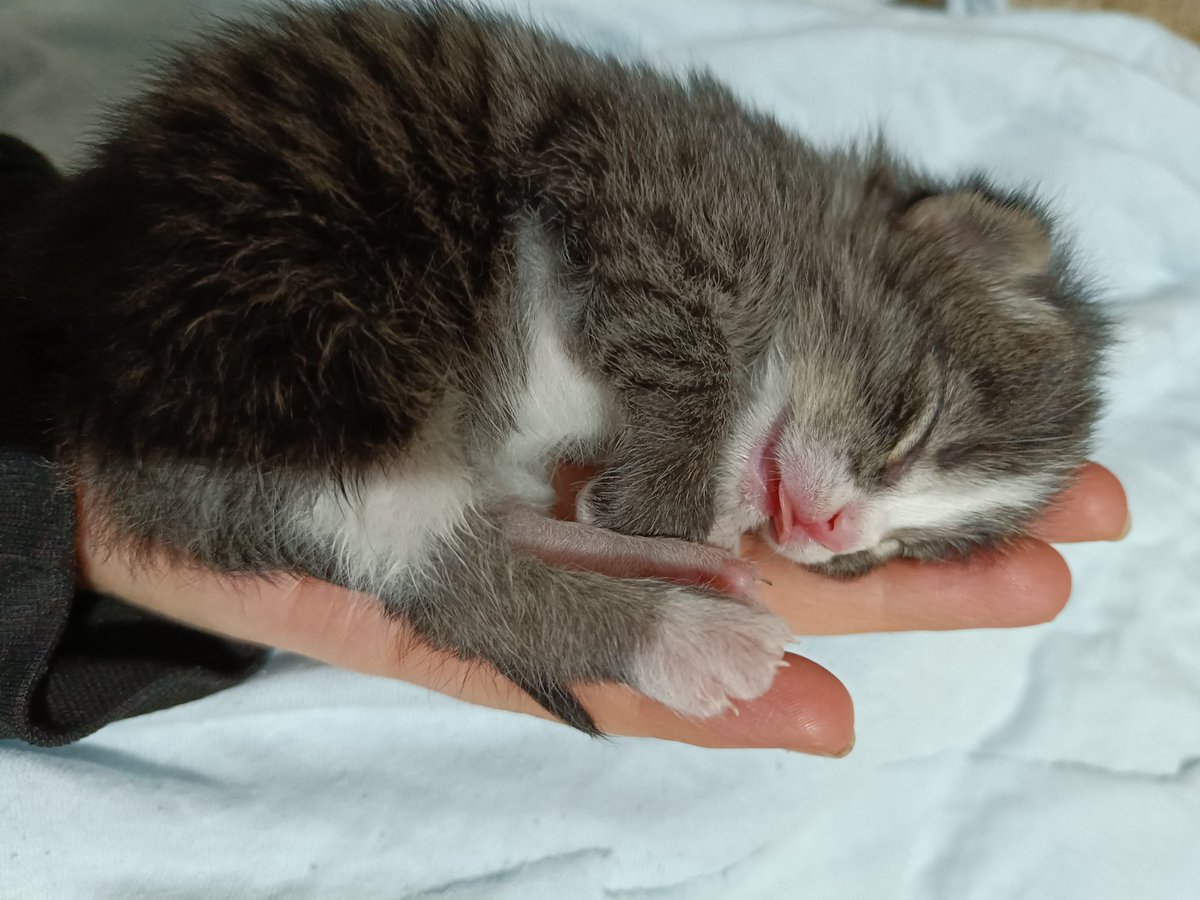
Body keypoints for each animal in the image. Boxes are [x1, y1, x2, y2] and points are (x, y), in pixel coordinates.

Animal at [0, 1, 1104, 734]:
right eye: (914, 418)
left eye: (895, 555)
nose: (832, 535)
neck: (797, 225)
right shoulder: (641, 194)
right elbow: (688, 348)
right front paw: (667, 506)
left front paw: (693, 520)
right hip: (323, 350)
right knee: (435, 568)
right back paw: (689, 629)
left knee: (446, 557)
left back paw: (678, 591)